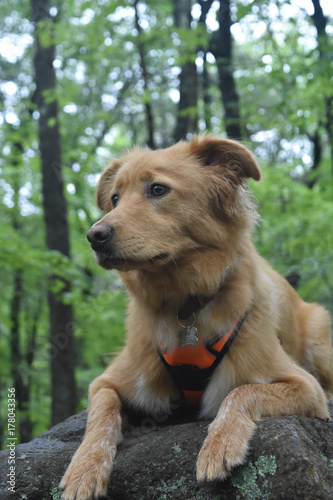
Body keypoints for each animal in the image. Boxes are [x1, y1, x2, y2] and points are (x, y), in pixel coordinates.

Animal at [60, 136, 332, 500]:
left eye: (157, 189)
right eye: (115, 198)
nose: (94, 236)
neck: (183, 304)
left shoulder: (304, 387)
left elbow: (242, 392)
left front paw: (219, 445)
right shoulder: (108, 380)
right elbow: (101, 414)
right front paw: (84, 469)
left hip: (318, 334)